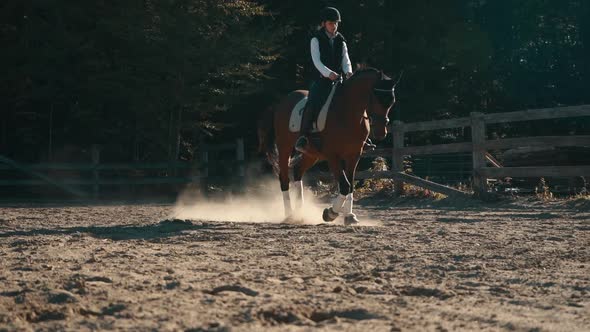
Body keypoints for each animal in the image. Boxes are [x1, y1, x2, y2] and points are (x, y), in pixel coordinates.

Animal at [260, 67, 398, 224]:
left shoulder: (354, 155)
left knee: (297, 171)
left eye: (392, 101)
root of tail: (282, 102)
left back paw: (300, 212)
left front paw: (349, 216)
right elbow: (344, 185)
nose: (381, 132)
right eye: (375, 98)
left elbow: (350, 185)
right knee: (284, 178)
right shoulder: (333, 156)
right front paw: (330, 213)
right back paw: (289, 215)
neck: (348, 112)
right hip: (285, 148)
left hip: (312, 154)